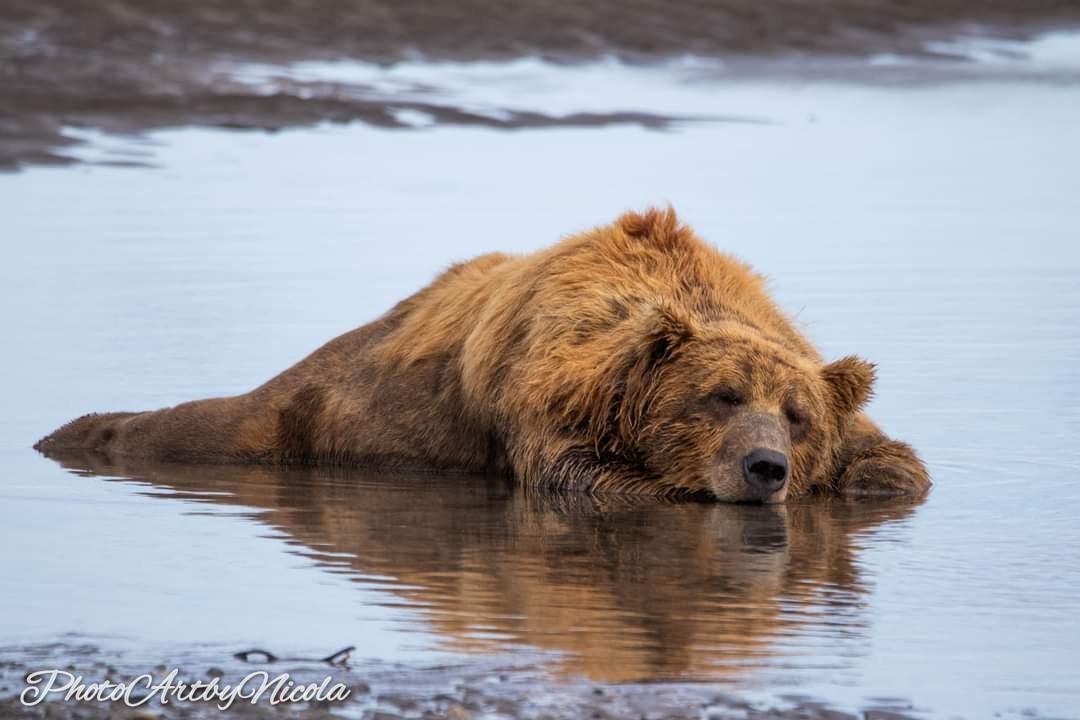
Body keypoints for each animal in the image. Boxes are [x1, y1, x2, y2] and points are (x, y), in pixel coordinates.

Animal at [35, 207, 930, 502]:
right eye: (719, 395)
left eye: (798, 415)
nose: (764, 467)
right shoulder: (544, 388)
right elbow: (586, 480)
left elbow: (900, 464)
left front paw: (862, 483)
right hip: (315, 409)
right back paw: (73, 430)